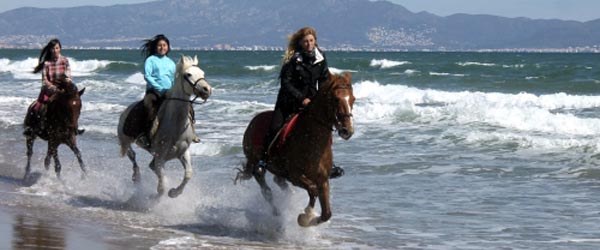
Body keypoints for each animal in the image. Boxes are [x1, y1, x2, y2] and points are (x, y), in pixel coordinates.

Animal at [116, 55, 211, 198]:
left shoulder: (183, 152)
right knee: (132, 155)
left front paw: (174, 193)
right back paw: (136, 177)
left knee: (149, 165)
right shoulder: (160, 156)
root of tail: (126, 110)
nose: (207, 89)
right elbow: (162, 184)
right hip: (125, 140)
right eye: (188, 74)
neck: (175, 125)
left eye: (203, 73)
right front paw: (157, 196)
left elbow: (188, 174)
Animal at [236, 72, 356, 227]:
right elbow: (313, 190)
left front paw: (309, 217)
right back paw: (276, 212)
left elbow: (326, 213)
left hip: (278, 170)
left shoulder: (323, 180)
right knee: (266, 189)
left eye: (353, 99)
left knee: (279, 182)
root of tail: (253, 121)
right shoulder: (295, 176)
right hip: (256, 164)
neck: (311, 140)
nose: (347, 131)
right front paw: (306, 215)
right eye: (335, 99)